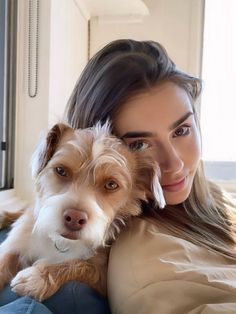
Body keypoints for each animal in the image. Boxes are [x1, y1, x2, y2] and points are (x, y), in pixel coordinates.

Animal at [0, 121, 166, 300]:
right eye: (61, 170)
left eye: (111, 184)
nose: (74, 218)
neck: (60, 242)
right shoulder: (17, 242)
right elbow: (5, 257)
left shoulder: (102, 277)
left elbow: (80, 265)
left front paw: (39, 276)